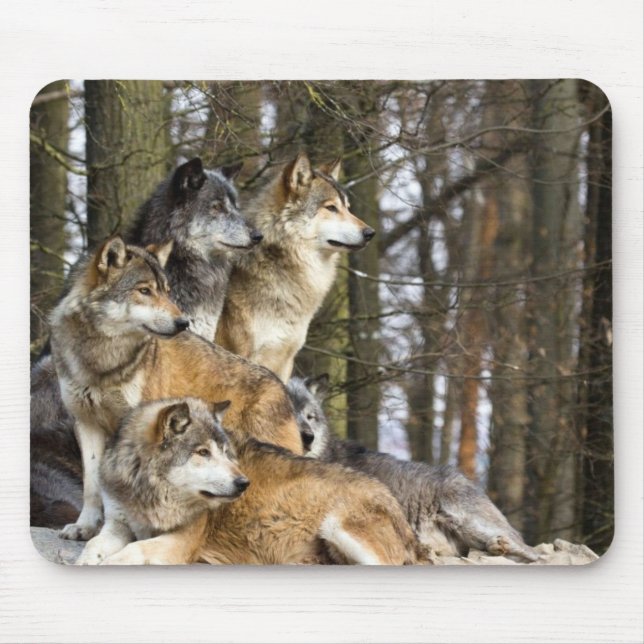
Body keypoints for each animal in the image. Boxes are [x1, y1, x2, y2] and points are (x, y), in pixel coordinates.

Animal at [49, 236, 302, 541]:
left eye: (167, 291)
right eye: (144, 291)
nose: (183, 322)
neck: (102, 361)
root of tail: (281, 386)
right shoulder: (86, 424)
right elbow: (91, 485)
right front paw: (84, 527)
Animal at [78, 398, 429, 566]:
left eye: (225, 452)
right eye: (203, 452)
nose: (242, 483)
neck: (150, 494)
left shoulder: (182, 541)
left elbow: (135, 550)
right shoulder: (117, 524)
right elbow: (96, 545)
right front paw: (86, 560)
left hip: (338, 527)